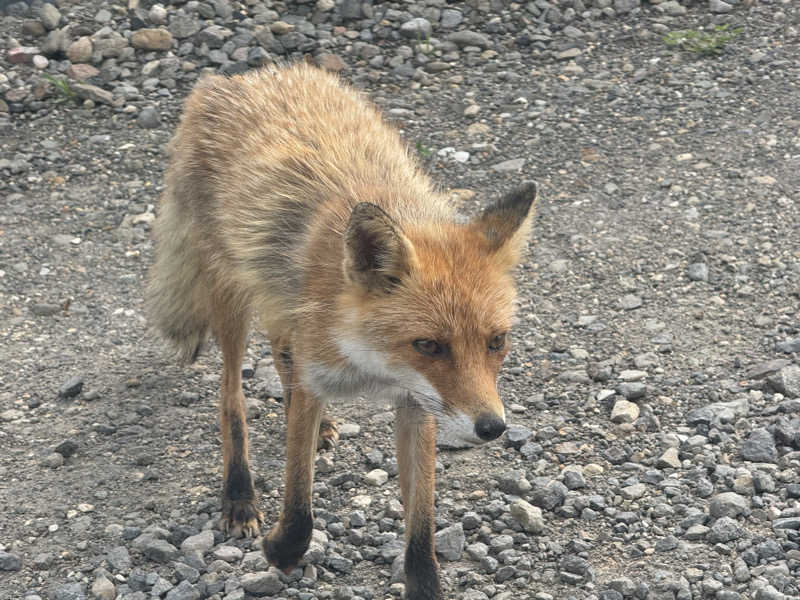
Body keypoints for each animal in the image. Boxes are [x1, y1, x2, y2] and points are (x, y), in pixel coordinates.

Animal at [150, 62, 536, 600]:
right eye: (429, 345)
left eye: (496, 342)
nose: (492, 428)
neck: (370, 364)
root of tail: (244, 76)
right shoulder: (319, 377)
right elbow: (299, 506)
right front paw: (281, 551)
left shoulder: (418, 405)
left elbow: (421, 527)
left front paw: (423, 584)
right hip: (230, 296)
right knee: (231, 398)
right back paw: (240, 494)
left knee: (280, 353)